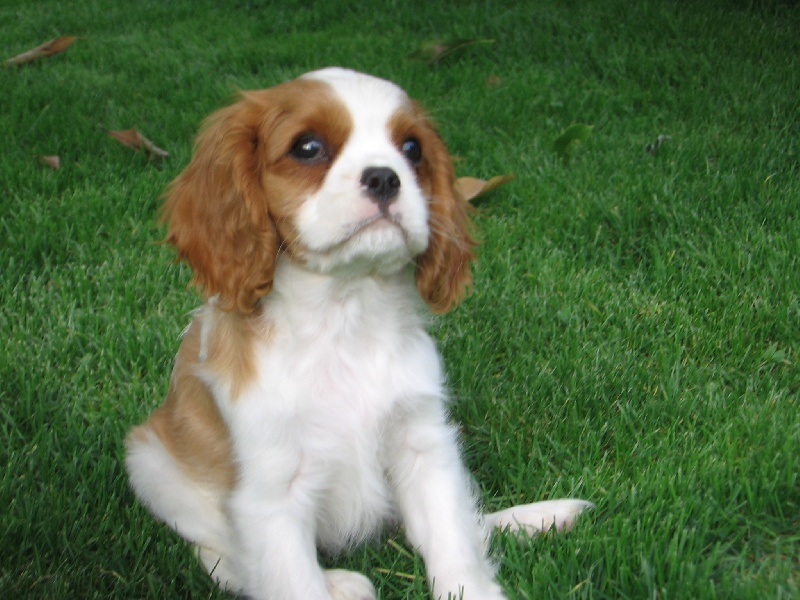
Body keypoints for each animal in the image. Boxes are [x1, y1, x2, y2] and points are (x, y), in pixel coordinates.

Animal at [125, 67, 592, 600]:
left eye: (411, 148)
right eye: (308, 147)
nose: (385, 176)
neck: (345, 310)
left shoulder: (423, 445)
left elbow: (453, 542)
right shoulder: (272, 493)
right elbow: (292, 581)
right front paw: (321, 586)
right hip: (151, 465)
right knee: (223, 559)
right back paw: (338, 582)